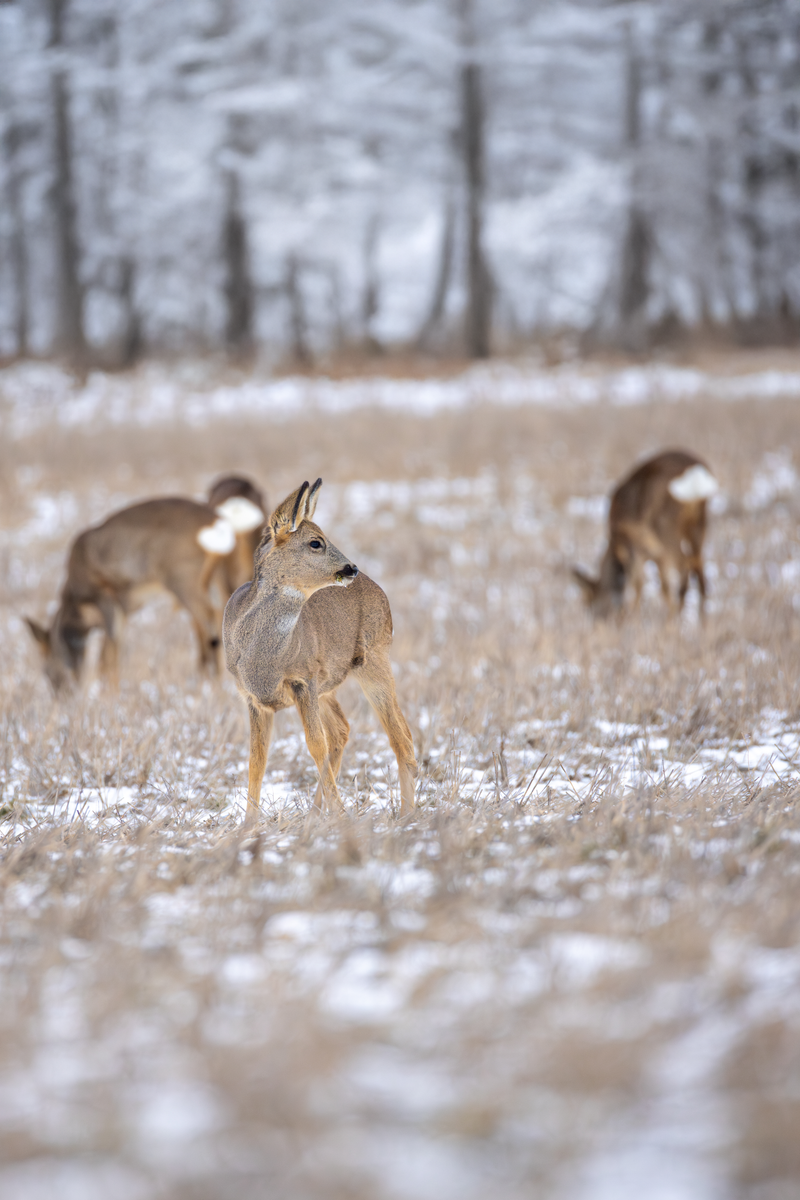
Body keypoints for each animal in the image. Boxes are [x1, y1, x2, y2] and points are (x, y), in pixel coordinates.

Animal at [25, 497, 241, 691]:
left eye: (47, 672)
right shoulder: (122, 608)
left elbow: (107, 655)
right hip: (214, 579)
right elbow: (110, 650)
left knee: (210, 622)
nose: (62, 696)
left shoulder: (105, 596)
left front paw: (108, 695)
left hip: (183, 577)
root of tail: (217, 522)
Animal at [223, 479, 417, 820]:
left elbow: (315, 745)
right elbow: (257, 758)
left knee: (400, 738)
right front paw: (248, 824)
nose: (351, 568)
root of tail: (378, 589)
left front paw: (340, 815)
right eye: (316, 542)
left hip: (374, 658)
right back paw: (315, 814)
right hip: (329, 684)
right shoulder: (252, 696)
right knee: (343, 729)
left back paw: (407, 813)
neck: (263, 656)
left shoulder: (303, 679)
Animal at [571, 449, 718, 618]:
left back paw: (675, 619)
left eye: (589, 603)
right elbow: (658, 585)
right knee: (700, 574)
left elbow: (640, 584)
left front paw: (631, 618)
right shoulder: (652, 554)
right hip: (698, 525)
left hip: (665, 527)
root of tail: (694, 474)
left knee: (684, 567)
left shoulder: (635, 548)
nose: (595, 621)